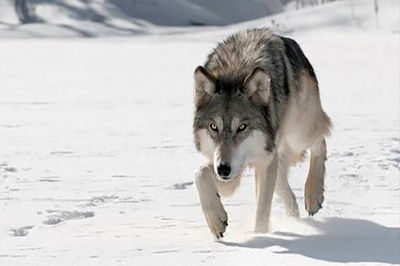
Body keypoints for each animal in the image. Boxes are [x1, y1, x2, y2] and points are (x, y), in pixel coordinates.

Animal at [192, 28, 330, 239]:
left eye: (242, 126)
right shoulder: (231, 170)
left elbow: (262, 212)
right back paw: (294, 216)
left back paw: (313, 196)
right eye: (213, 127)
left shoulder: (263, 161)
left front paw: (260, 239)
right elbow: (200, 173)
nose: (223, 169)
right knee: (285, 186)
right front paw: (216, 221)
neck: (235, 70)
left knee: (320, 141)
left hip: (298, 134)